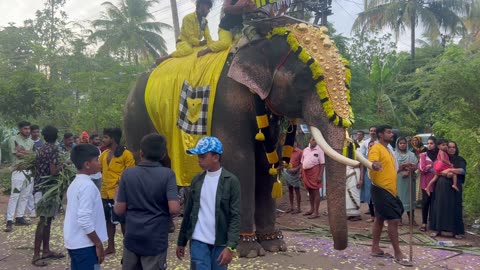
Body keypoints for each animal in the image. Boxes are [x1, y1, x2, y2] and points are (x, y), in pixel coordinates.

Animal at [124, 21, 372, 258]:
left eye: (347, 79)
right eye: (304, 80)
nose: (339, 247)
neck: (261, 41)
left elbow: (266, 163)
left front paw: (274, 246)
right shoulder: (228, 101)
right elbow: (240, 160)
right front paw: (248, 251)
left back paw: (168, 229)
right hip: (136, 119)